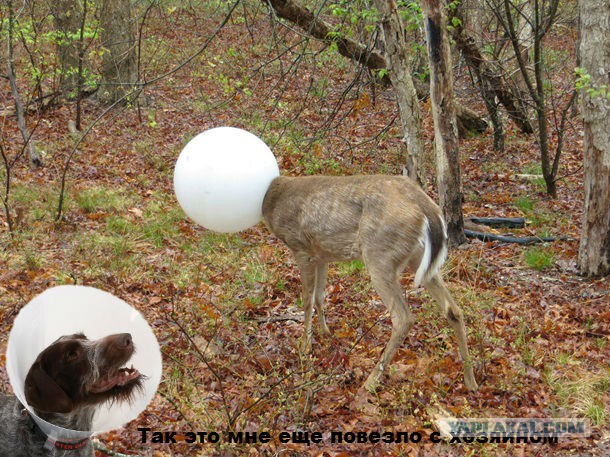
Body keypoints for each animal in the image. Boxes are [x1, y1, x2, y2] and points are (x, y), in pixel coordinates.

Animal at [260, 175, 476, 392]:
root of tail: (427, 207)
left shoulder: (300, 247)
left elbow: (307, 300)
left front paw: (305, 346)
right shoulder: (321, 254)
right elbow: (320, 296)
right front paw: (325, 333)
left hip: (379, 255)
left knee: (403, 318)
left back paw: (370, 382)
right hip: (418, 257)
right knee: (453, 309)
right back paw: (470, 380)